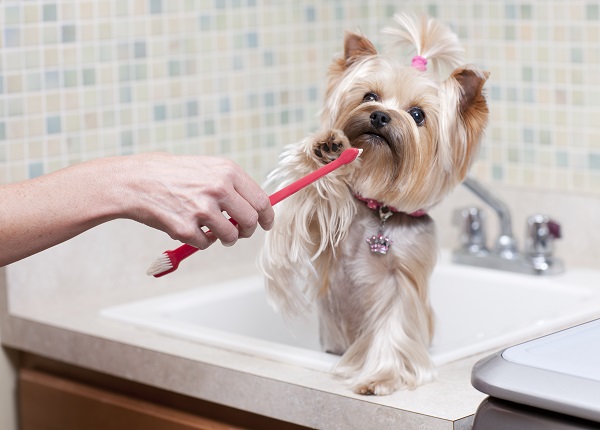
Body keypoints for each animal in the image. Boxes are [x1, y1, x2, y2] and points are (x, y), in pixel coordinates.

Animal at [258, 13, 488, 396]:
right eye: (369, 95)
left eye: (417, 114)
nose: (380, 116)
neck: (380, 210)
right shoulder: (321, 224)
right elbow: (311, 193)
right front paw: (325, 147)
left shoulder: (404, 278)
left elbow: (394, 325)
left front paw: (380, 378)